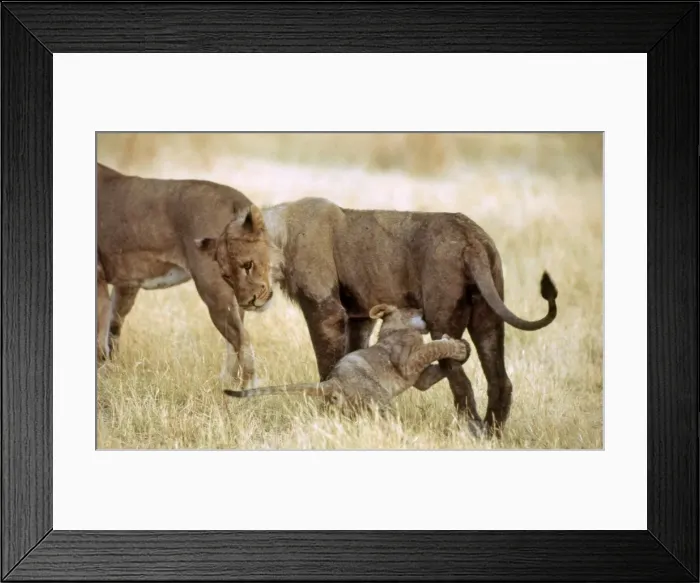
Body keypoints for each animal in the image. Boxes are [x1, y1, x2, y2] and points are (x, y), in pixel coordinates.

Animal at [96, 162, 274, 388]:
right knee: (236, 338)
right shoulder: (127, 282)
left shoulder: (99, 278)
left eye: (249, 265)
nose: (253, 299)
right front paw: (111, 373)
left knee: (242, 339)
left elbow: (100, 336)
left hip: (213, 291)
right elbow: (113, 327)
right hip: (234, 296)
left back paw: (245, 388)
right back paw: (228, 382)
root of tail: (236, 198)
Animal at [224, 304, 471, 413]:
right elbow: (432, 347)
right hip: (380, 399)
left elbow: (433, 371)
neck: (396, 328)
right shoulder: (406, 364)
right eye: (412, 307)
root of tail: (333, 381)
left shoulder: (419, 379)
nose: (423, 309)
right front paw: (459, 347)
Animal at [261, 197, 558, 437]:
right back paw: (492, 434)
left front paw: (329, 411)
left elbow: (327, 363)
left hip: (442, 315)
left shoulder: (326, 311)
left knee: (460, 378)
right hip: (488, 315)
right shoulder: (360, 316)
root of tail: (470, 236)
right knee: (499, 380)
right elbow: (354, 352)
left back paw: (471, 430)